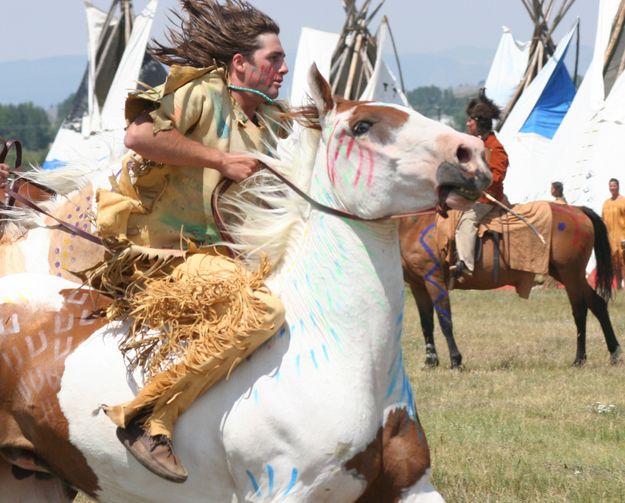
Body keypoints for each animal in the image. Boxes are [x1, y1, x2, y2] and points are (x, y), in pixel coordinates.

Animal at [400, 202, 620, 370]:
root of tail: (577, 210)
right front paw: (430, 361)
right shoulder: (418, 286)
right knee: (597, 304)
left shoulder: (434, 281)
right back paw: (614, 353)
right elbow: (426, 323)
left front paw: (456, 360)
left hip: (571, 274)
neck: (415, 223)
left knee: (580, 311)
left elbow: (445, 321)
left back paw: (579, 359)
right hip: (567, 275)